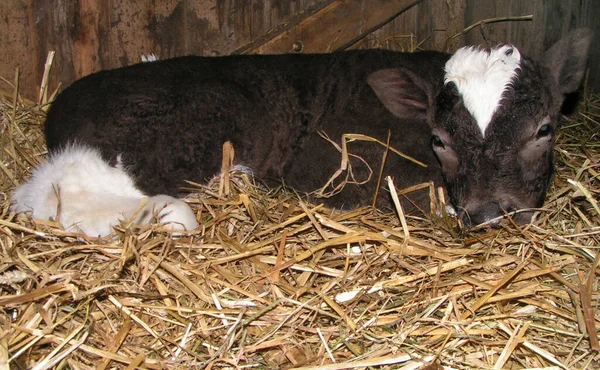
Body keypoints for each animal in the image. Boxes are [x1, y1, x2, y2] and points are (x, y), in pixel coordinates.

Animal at [12, 30, 592, 236]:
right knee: (52, 195)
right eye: (440, 141)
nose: (491, 213)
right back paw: (167, 216)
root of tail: (60, 105)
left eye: (544, 128)